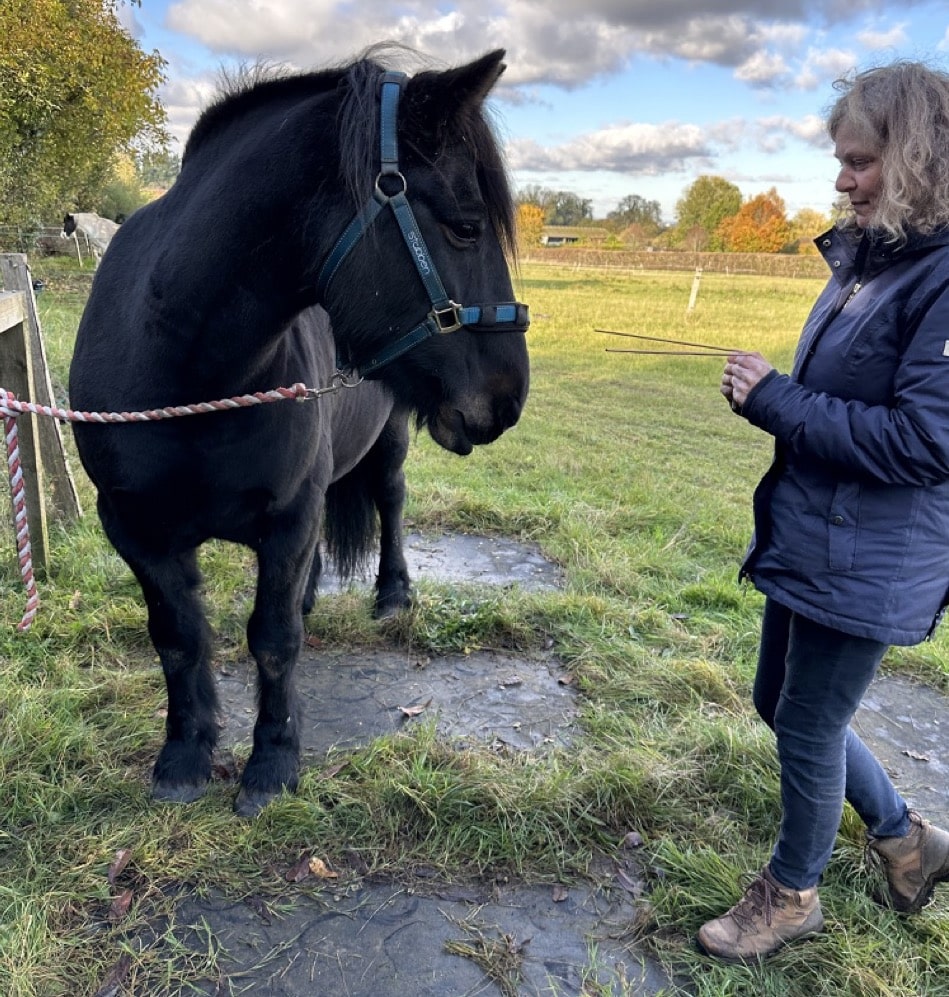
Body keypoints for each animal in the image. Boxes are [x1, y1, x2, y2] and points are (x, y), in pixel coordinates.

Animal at [68, 46, 524, 812]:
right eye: (465, 226)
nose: (508, 396)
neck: (191, 377)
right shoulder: (136, 529)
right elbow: (178, 638)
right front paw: (185, 754)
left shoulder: (290, 516)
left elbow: (274, 639)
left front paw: (272, 765)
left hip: (390, 443)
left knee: (391, 503)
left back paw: (392, 595)